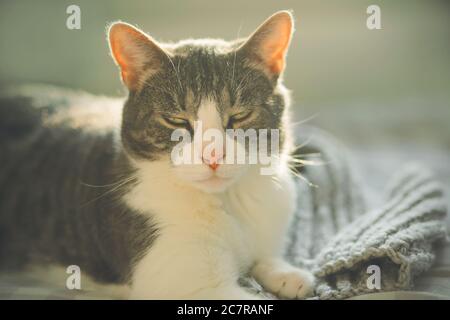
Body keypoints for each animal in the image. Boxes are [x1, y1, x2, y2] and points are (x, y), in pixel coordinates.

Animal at [0, 10, 314, 300]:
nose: (212, 155)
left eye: (239, 116)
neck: (229, 202)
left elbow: (266, 258)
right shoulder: (187, 282)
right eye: (176, 121)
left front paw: (287, 273)